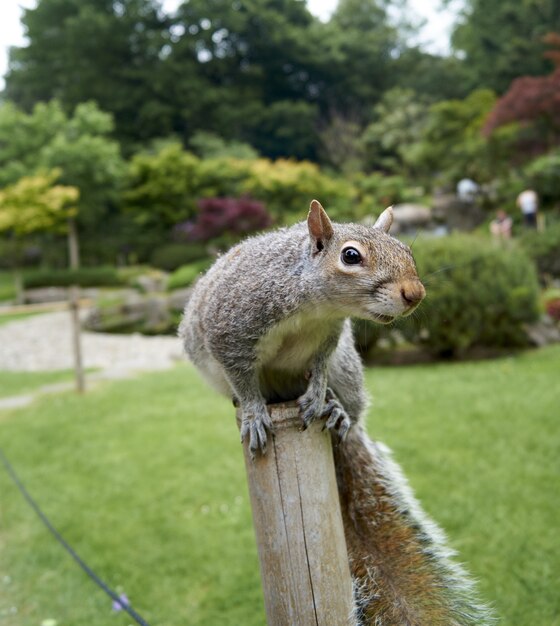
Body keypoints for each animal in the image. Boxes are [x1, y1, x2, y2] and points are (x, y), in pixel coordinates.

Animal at [179, 200, 494, 624]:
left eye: (406, 250)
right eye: (351, 256)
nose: (415, 293)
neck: (315, 308)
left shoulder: (330, 337)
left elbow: (319, 365)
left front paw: (316, 394)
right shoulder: (230, 330)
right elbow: (242, 378)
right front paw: (254, 413)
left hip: (347, 364)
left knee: (349, 404)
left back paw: (337, 411)